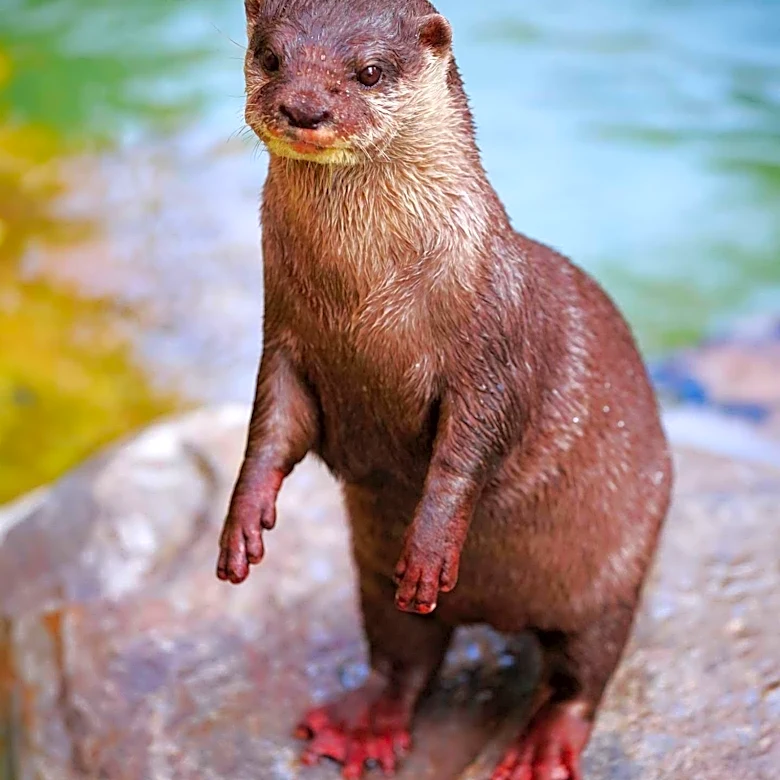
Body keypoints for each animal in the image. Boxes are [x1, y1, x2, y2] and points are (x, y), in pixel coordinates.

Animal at [216, 1, 673, 778]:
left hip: (616, 569)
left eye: (370, 71)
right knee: (403, 656)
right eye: (270, 56)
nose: (304, 107)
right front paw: (243, 523)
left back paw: (541, 747)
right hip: (372, 579)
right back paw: (363, 725)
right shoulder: (284, 340)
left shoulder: (490, 347)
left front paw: (430, 550)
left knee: (583, 673)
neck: (365, 302)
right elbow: (270, 431)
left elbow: (468, 453)